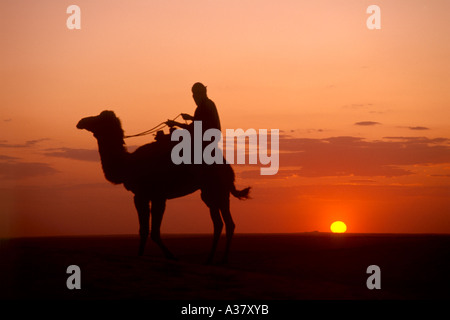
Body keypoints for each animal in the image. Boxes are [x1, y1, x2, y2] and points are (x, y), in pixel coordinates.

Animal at [78, 110, 253, 262]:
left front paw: (170, 256)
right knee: (220, 223)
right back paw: (210, 259)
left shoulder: (155, 196)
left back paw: (221, 260)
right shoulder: (143, 196)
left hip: (217, 190)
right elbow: (144, 230)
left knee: (226, 223)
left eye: (98, 118)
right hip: (211, 193)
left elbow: (153, 231)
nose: (81, 121)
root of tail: (228, 167)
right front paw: (141, 255)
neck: (128, 164)